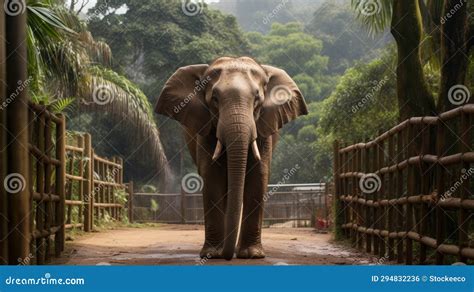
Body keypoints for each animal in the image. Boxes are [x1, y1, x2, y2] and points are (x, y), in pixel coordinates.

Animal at [156, 57, 308, 260]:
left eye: (257, 99)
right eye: (214, 99)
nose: (227, 256)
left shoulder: (262, 129)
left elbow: (258, 176)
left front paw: (252, 255)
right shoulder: (206, 128)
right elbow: (212, 176)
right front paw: (211, 254)